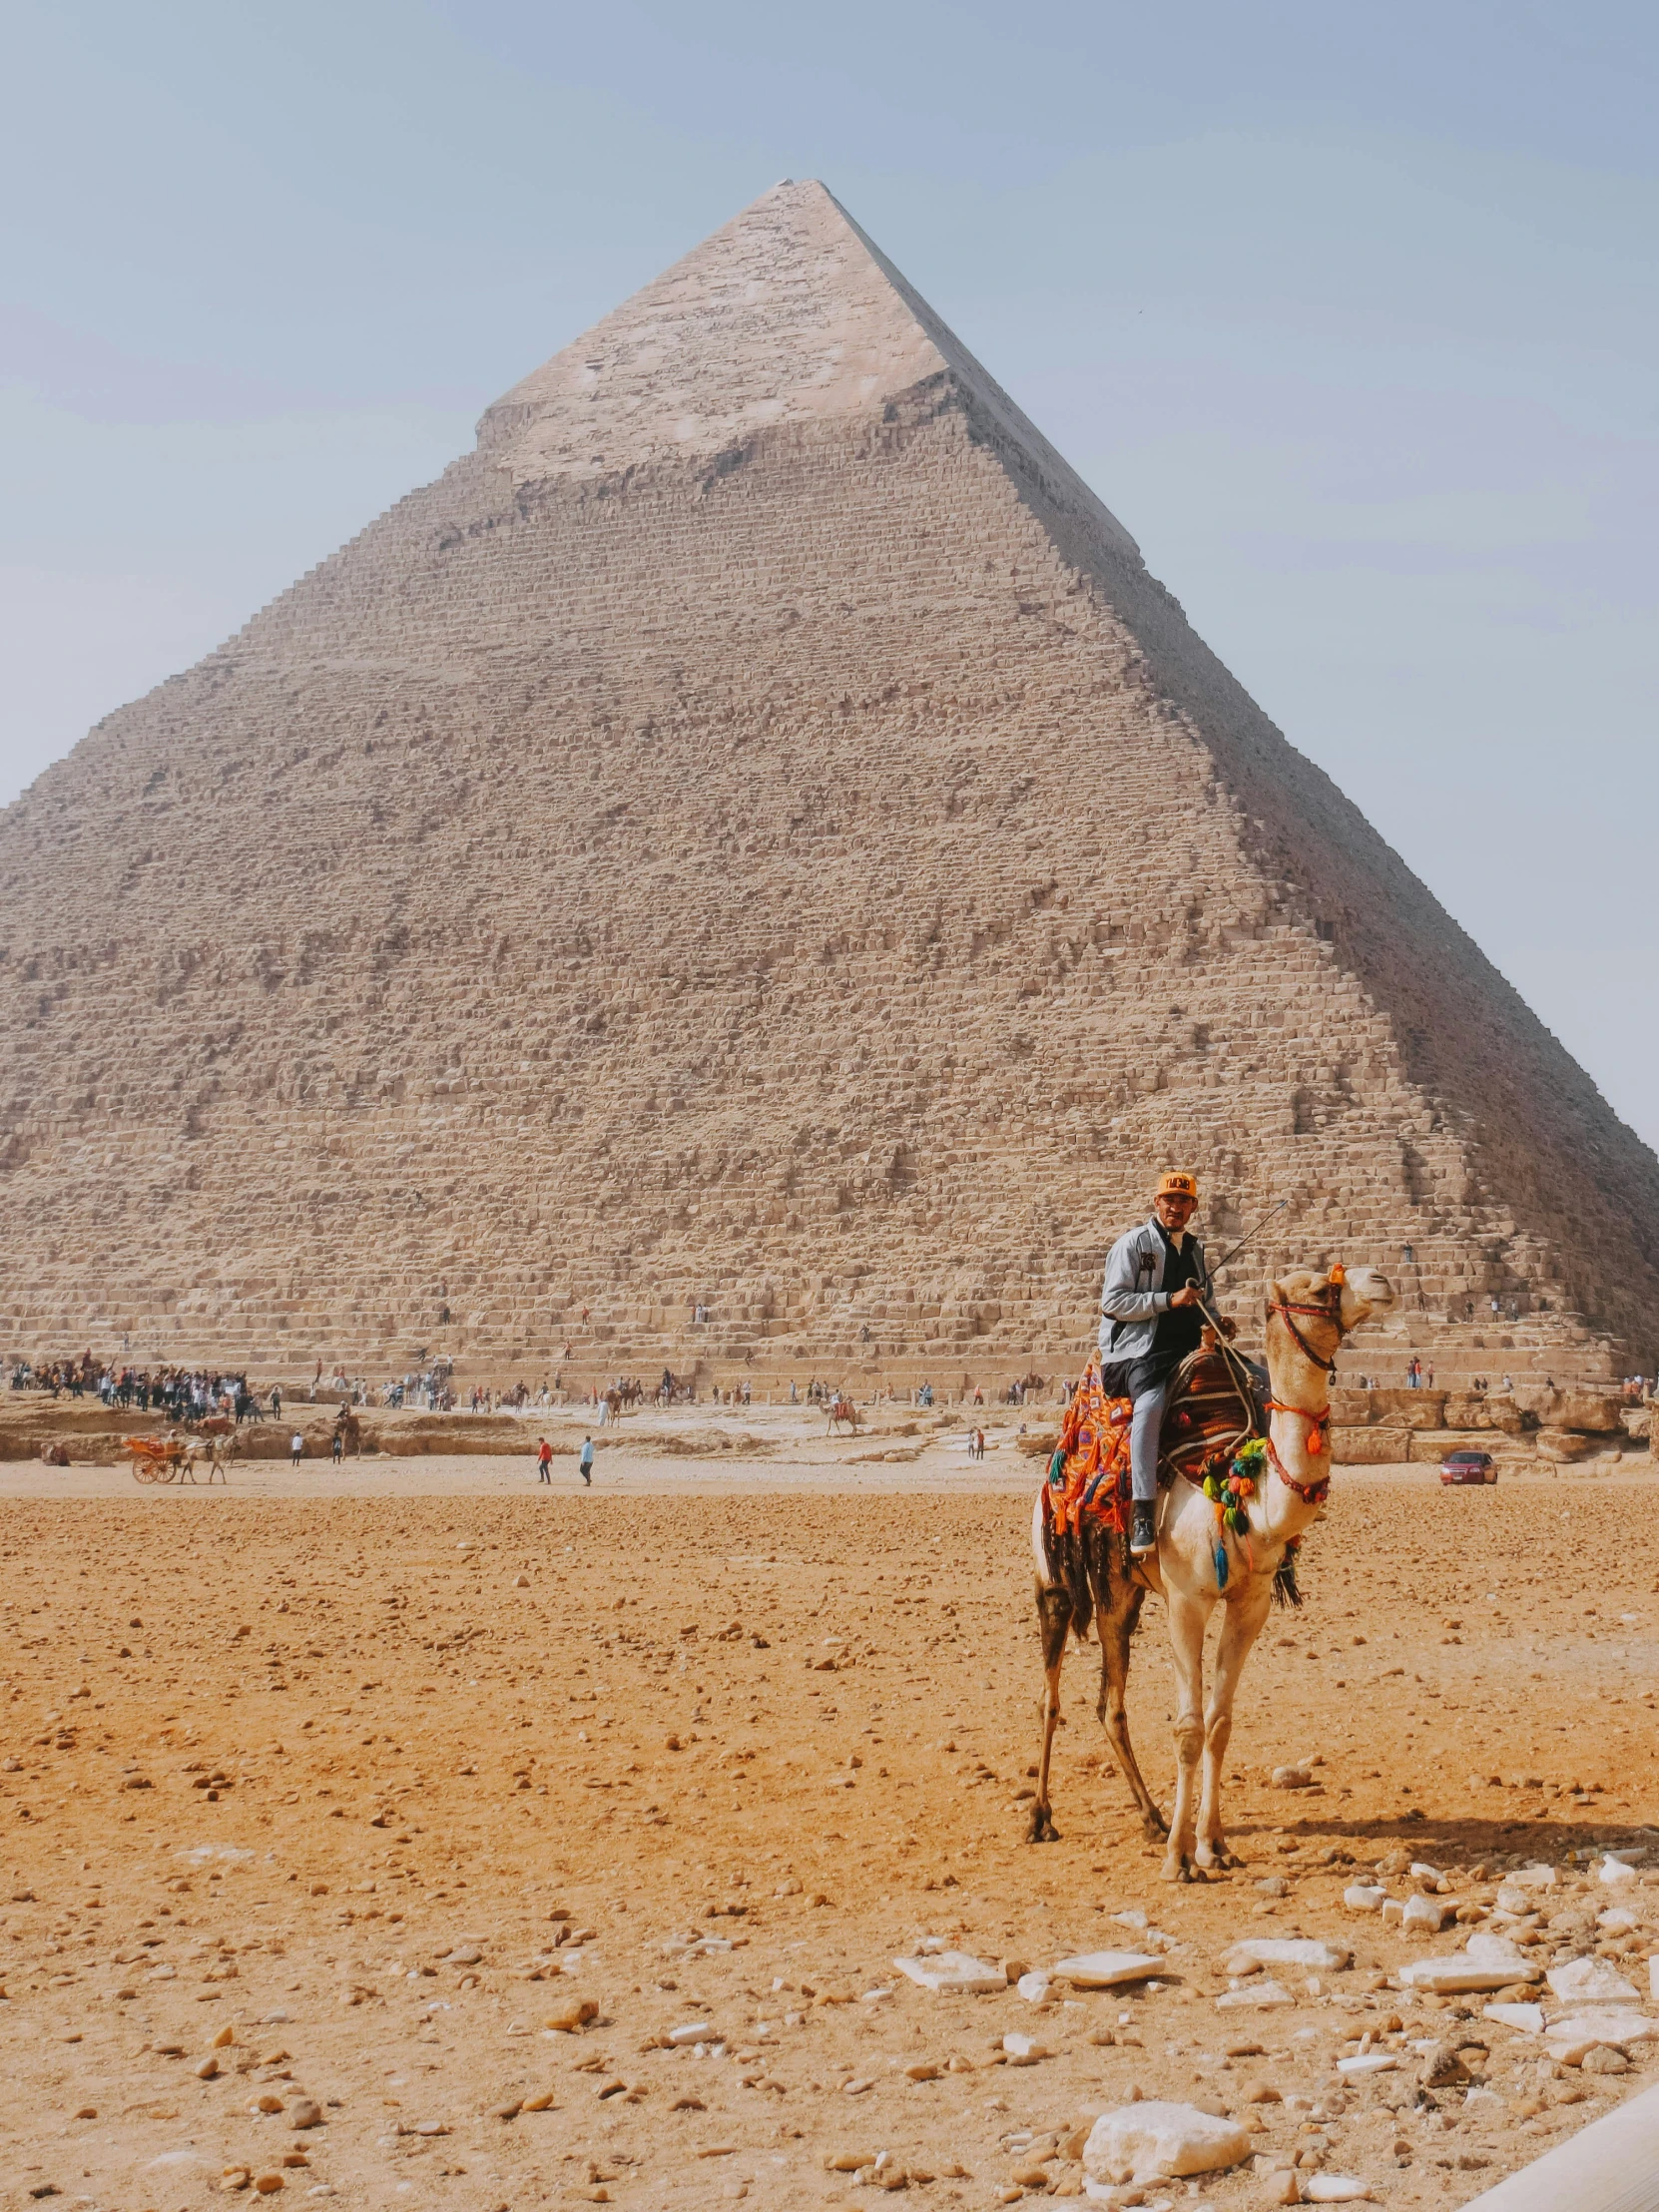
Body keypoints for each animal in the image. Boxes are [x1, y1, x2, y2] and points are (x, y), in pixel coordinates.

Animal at [1035, 1274, 1397, 1876]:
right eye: (1317, 1287)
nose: (1384, 1282)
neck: (1239, 1487)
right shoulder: (1186, 1600)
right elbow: (1188, 1727)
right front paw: (1181, 1859)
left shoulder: (1251, 1603)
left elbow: (1220, 1722)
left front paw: (1212, 1843)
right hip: (1055, 1574)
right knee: (1052, 1695)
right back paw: (1041, 1817)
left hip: (1121, 1591)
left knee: (1110, 1704)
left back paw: (1151, 1818)